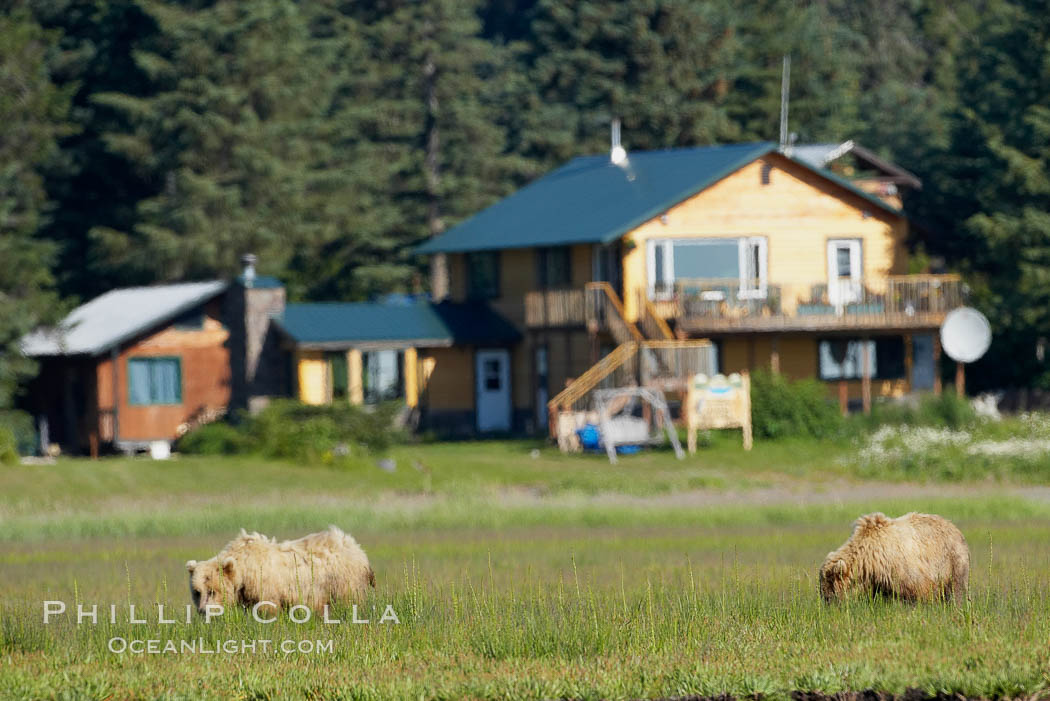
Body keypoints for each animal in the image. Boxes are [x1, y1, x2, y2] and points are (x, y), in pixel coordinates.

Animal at [186, 524, 375, 612]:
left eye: (212, 591)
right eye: (197, 591)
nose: (203, 611)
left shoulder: (266, 587)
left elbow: (267, 608)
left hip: (344, 582)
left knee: (350, 602)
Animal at [818, 510, 965, 604]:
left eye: (829, 591)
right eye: (822, 589)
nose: (827, 604)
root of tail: (953, 526)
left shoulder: (903, 570)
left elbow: (916, 593)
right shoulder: (877, 580)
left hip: (953, 561)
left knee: (956, 589)